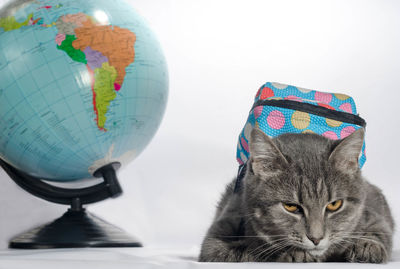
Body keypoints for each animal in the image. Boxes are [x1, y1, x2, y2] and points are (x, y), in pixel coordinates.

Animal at [198, 127, 392, 262]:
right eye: (290, 206)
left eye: (334, 205)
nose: (316, 238)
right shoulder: (217, 238)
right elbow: (246, 251)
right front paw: (296, 254)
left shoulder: (374, 214)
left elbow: (379, 233)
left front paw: (367, 247)